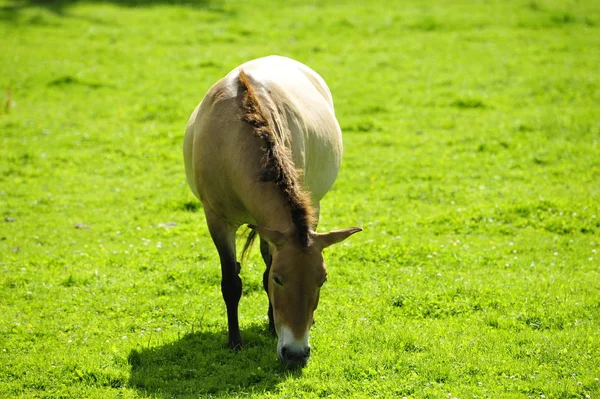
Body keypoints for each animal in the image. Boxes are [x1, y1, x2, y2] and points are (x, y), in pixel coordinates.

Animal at [183, 56, 360, 368]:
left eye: (322, 280)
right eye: (280, 279)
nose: (296, 353)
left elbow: (264, 268)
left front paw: (273, 326)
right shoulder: (216, 219)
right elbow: (232, 281)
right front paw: (235, 342)